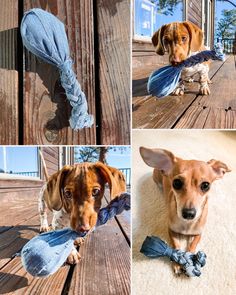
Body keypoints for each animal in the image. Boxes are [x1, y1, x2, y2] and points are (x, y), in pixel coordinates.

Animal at [139, 147, 230, 276]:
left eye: (205, 185)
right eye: (176, 183)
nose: (188, 213)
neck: (187, 224)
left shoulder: (198, 233)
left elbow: (192, 245)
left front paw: (190, 260)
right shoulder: (171, 230)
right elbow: (176, 246)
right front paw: (177, 263)